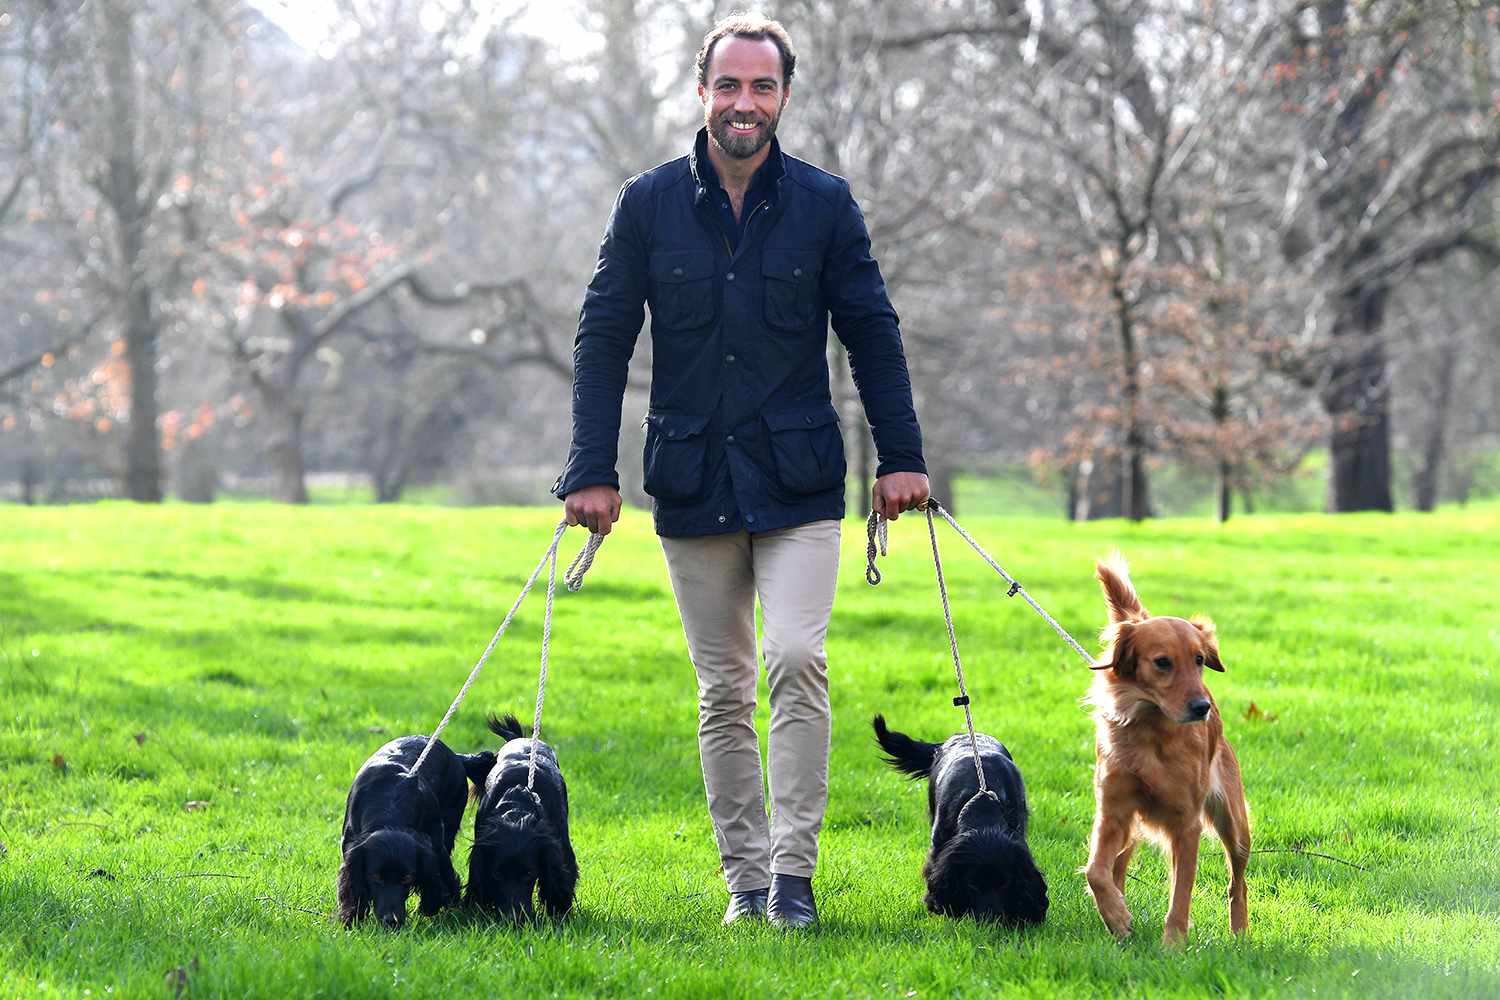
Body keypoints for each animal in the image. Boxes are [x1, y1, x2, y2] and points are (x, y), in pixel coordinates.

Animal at [336, 734, 495, 929]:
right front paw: (352, 916)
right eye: (375, 877)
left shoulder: (435, 844)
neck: (389, 805)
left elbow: (442, 875)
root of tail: (456, 755)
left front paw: (436, 904)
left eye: (407, 878)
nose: (392, 921)